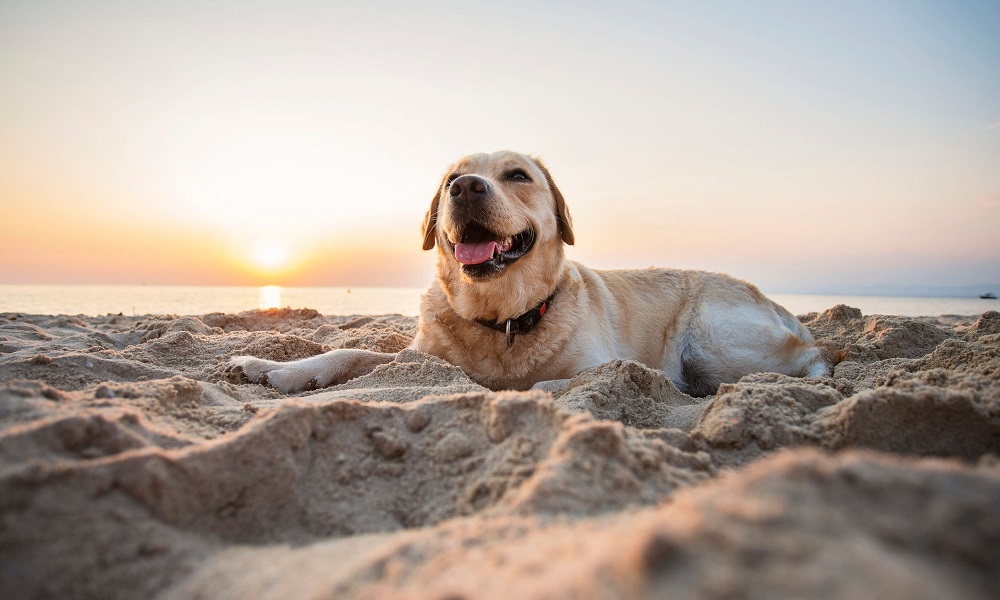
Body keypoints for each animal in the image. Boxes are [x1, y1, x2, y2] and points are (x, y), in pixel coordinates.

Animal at [232, 151, 828, 394]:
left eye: (517, 175)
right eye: (450, 177)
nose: (465, 186)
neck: (502, 316)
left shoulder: (599, 365)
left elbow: (548, 380)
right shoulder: (420, 356)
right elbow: (353, 352)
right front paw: (273, 367)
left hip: (714, 339)